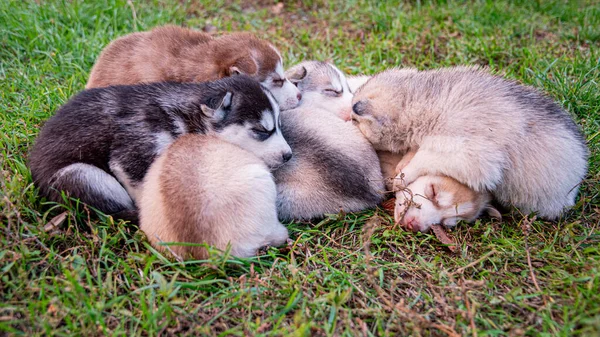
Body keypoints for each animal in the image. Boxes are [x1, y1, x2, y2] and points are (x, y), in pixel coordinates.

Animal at [29, 75, 292, 217]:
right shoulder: (132, 152)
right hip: (83, 176)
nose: (289, 155)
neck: (185, 117)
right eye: (262, 131)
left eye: (280, 126)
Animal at [350, 67, 588, 222]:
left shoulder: (471, 155)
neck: (427, 101)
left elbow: (425, 157)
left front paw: (402, 176)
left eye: (354, 120)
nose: (348, 115)